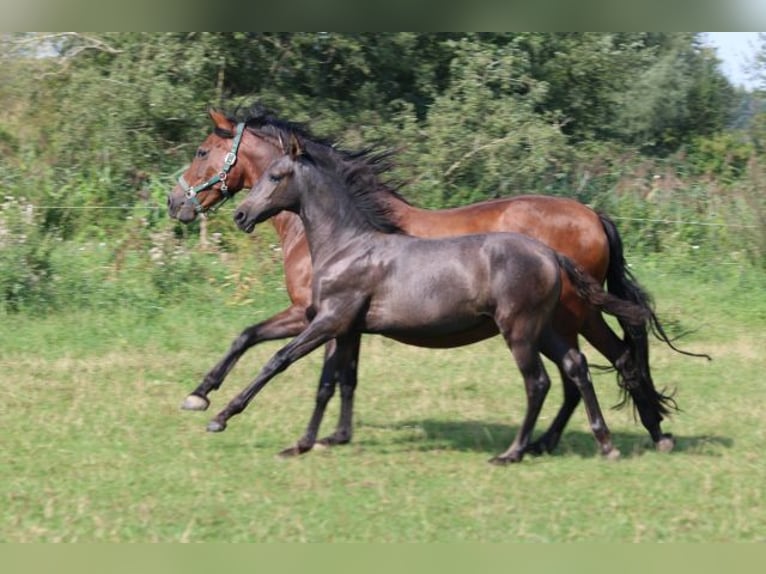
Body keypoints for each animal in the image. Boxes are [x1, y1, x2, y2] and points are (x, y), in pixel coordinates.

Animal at [168, 106, 708, 456]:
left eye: (202, 151)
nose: (176, 204)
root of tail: (593, 215)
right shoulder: (339, 321)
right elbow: (318, 366)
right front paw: (330, 436)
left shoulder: (315, 315)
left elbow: (281, 356)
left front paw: (210, 402)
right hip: (559, 321)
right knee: (586, 368)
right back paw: (566, 441)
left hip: (574, 315)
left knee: (613, 360)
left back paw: (641, 434)